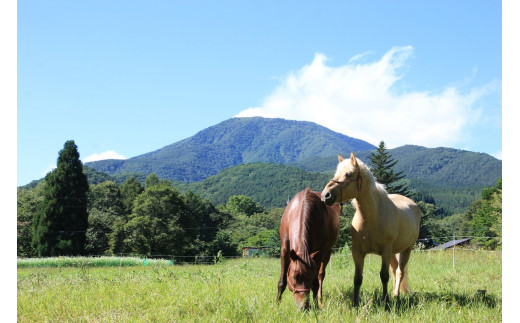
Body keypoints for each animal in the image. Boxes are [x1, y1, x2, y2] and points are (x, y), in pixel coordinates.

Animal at [320, 153, 422, 308]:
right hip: (393, 252)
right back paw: (393, 293)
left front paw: (385, 302)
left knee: (399, 272)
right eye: (336, 173)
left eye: (348, 174)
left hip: (406, 250)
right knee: (394, 270)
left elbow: (384, 276)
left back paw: (395, 295)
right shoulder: (357, 252)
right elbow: (357, 278)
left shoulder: (385, 250)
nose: (325, 195)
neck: (371, 217)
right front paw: (355, 303)